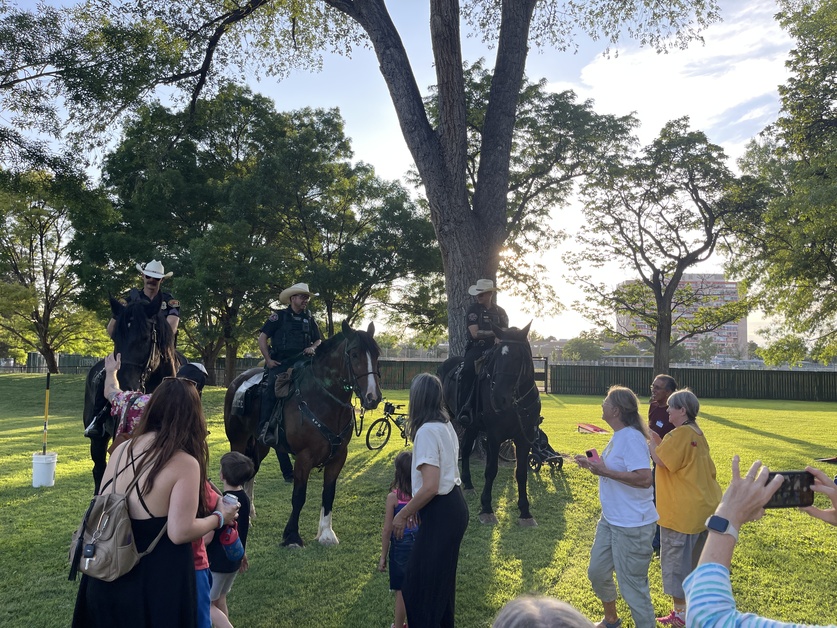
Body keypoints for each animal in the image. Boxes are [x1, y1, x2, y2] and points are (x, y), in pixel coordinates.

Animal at [224, 320, 382, 547]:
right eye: (354, 354)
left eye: (377, 354)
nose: (373, 397)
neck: (323, 399)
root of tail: (237, 381)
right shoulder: (304, 457)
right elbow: (299, 496)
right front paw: (292, 536)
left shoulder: (338, 457)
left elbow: (329, 493)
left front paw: (326, 534)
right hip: (237, 440)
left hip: (260, 446)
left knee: (250, 474)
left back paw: (249, 512)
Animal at [439, 323, 541, 526]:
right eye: (495, 358)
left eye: (518, 357)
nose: (498, 398)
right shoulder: (495, 436)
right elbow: (491, 470)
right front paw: (486, 508)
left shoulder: (524, 437)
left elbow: (521, 473)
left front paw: (525, 511)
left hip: (472, 426)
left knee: (465, 448)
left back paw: (468, 484)